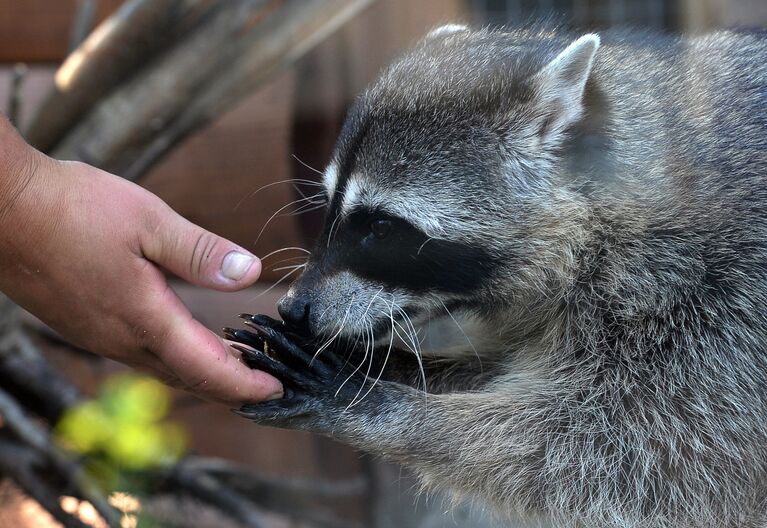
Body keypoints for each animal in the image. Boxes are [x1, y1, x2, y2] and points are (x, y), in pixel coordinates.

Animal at [231, 24, 767, 528]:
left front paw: (390, 409)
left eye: (382, 228)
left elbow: (621, 456)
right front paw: (383, 365)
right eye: (329, 207)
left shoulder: (714, 303)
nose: (294, 308)